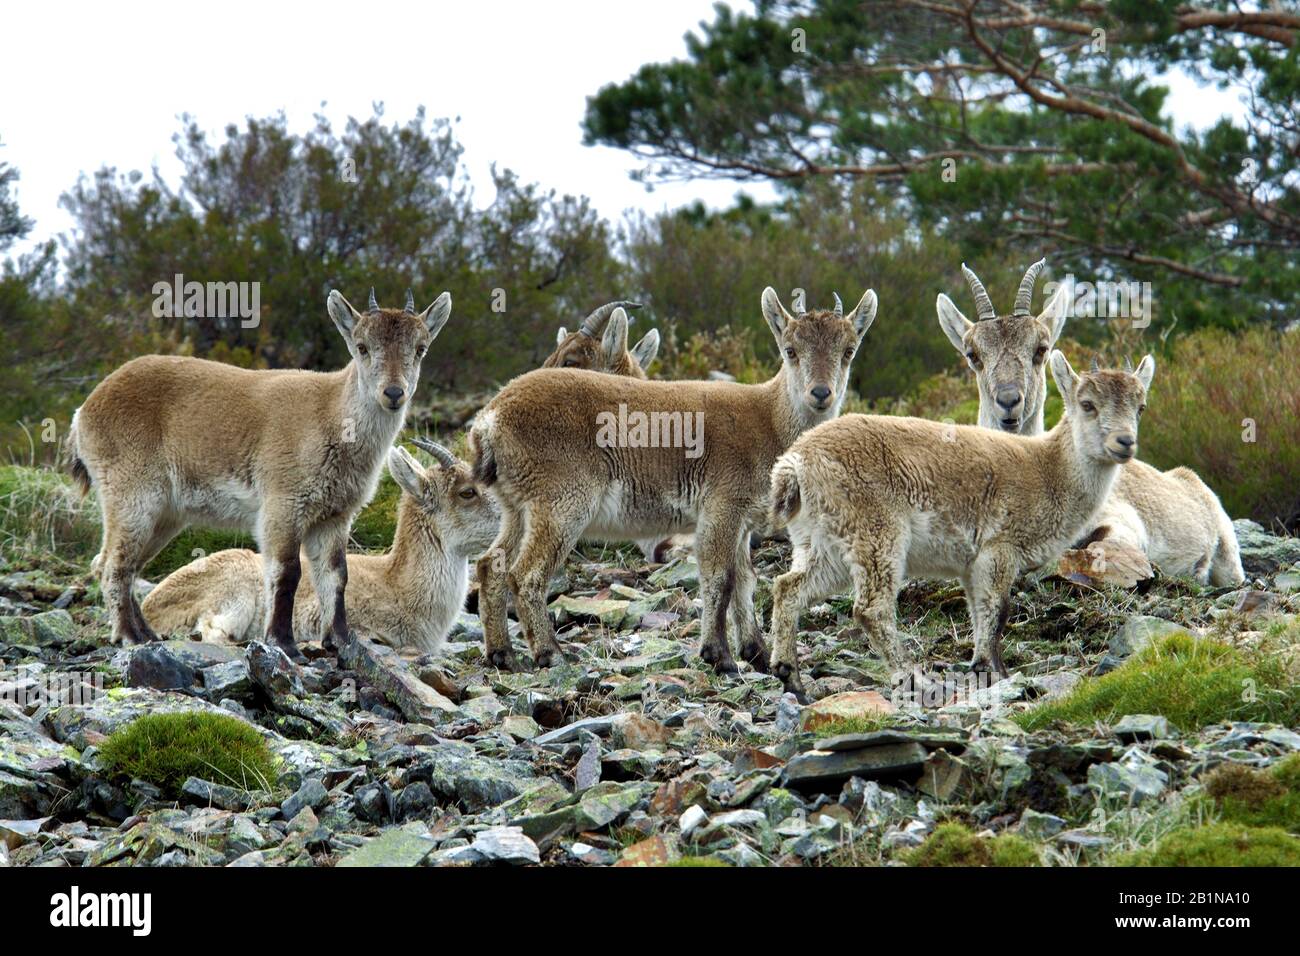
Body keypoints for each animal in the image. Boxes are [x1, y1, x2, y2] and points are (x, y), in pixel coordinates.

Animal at [68, 283, 452, 658]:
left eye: (420, 349)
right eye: (362, 347)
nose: (394, 393)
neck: (330, 416)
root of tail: (84, 411)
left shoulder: (335, 514)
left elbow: (336, 575)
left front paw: (341, 641)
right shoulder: (283, 502)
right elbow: (287, 570)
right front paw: (283, 642)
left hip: (165, 515)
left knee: (125, 564)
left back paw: (147, 634)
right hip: (131, 493)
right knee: (112, 564)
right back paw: (129, 636)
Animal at [467, 291, 873, 671]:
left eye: (849, 350)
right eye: (790, 350)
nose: (820, 394)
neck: (768, 420)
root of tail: (490, 418)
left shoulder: (742, 522)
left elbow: (745, 579)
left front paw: (756, 652)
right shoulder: (721, 506)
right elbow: (720, 577)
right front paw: (719, 655)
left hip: (517, 507)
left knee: (491, 564)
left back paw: (502, 653)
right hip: (561, 502)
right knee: (526, 573)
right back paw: (550, 652)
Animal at [764, 356, 1154, 697]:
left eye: (1141, 407)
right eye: (1087, 404)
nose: (1124, 442)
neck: (1049, 471)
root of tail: (794, 465)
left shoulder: (971, 564)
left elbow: (980, 610)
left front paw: (987, 666)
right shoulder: (1000, 547)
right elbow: (997, 609)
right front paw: (993, 670)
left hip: (824, 542)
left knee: (788, 587)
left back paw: (790, 676)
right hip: (875, 529)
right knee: (871, 608)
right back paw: (913, 677)